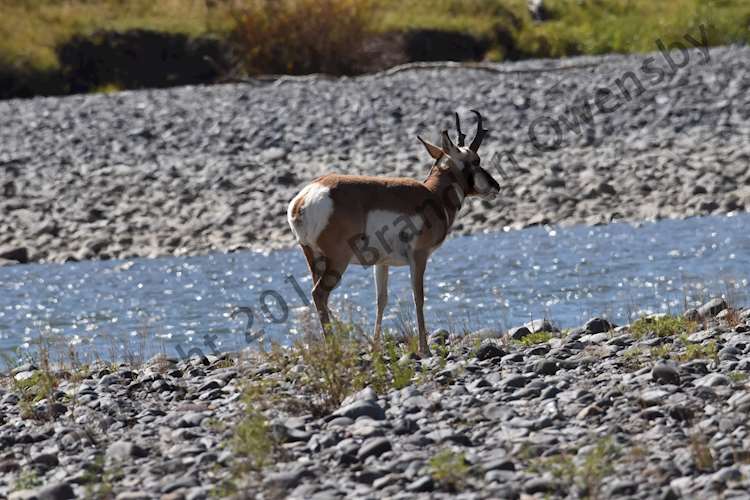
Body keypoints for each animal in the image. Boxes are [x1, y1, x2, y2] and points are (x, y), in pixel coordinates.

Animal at [286, 112, 500, 356]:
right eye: (476, 160)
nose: (496, 186)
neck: (433, 195)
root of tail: (304, 198)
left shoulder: (382, 263)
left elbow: (382, 300)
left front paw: (376, 346)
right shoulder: (419, 256)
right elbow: (418, 297)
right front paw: (425, 349)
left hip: (315, 260)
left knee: (318, 297)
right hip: (338, 261)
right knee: (319, 294)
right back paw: (335, 349)